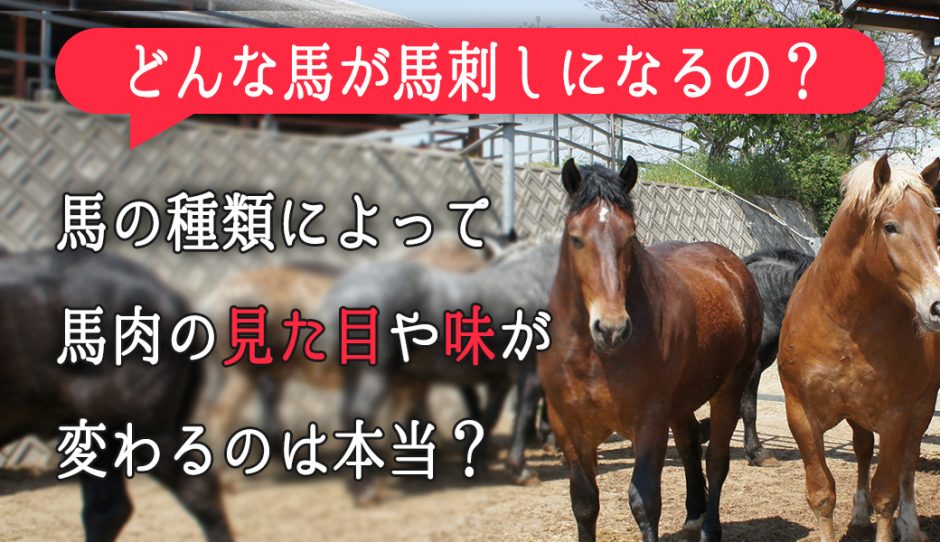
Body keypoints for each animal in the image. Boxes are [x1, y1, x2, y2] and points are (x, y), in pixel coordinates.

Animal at [320, 237, 560, 504]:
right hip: (374, 375)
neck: (536, 282)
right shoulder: (530, 373)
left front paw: (477, 463)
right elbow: (524, 412)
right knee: (360, 415)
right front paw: (520, 470)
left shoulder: (502, 379)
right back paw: (367, 489)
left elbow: (488, 417)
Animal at [539, 158, 763, 542]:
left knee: (716, 460)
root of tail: (734, 268)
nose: (611, 329)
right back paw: (694, 514)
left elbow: (644, 500)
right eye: (575, 238)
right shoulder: (569, 425)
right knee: (689, 443)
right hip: (682, 400)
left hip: (729, 388)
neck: (595, 357)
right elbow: (584, 502)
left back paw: (710, 528)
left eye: (630, 236)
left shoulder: (651, 420)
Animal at [778, 156, 940, 542]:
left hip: (924, 404)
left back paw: (910, 525)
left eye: (936, 228)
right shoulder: (800, 413)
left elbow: (887, 494)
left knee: (909, 461)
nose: (937, 306)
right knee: (864, 450)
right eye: (890, 226)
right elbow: (821, 494)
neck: (844, 323)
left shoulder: (896, 415)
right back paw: (858, 513)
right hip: (857, 414)